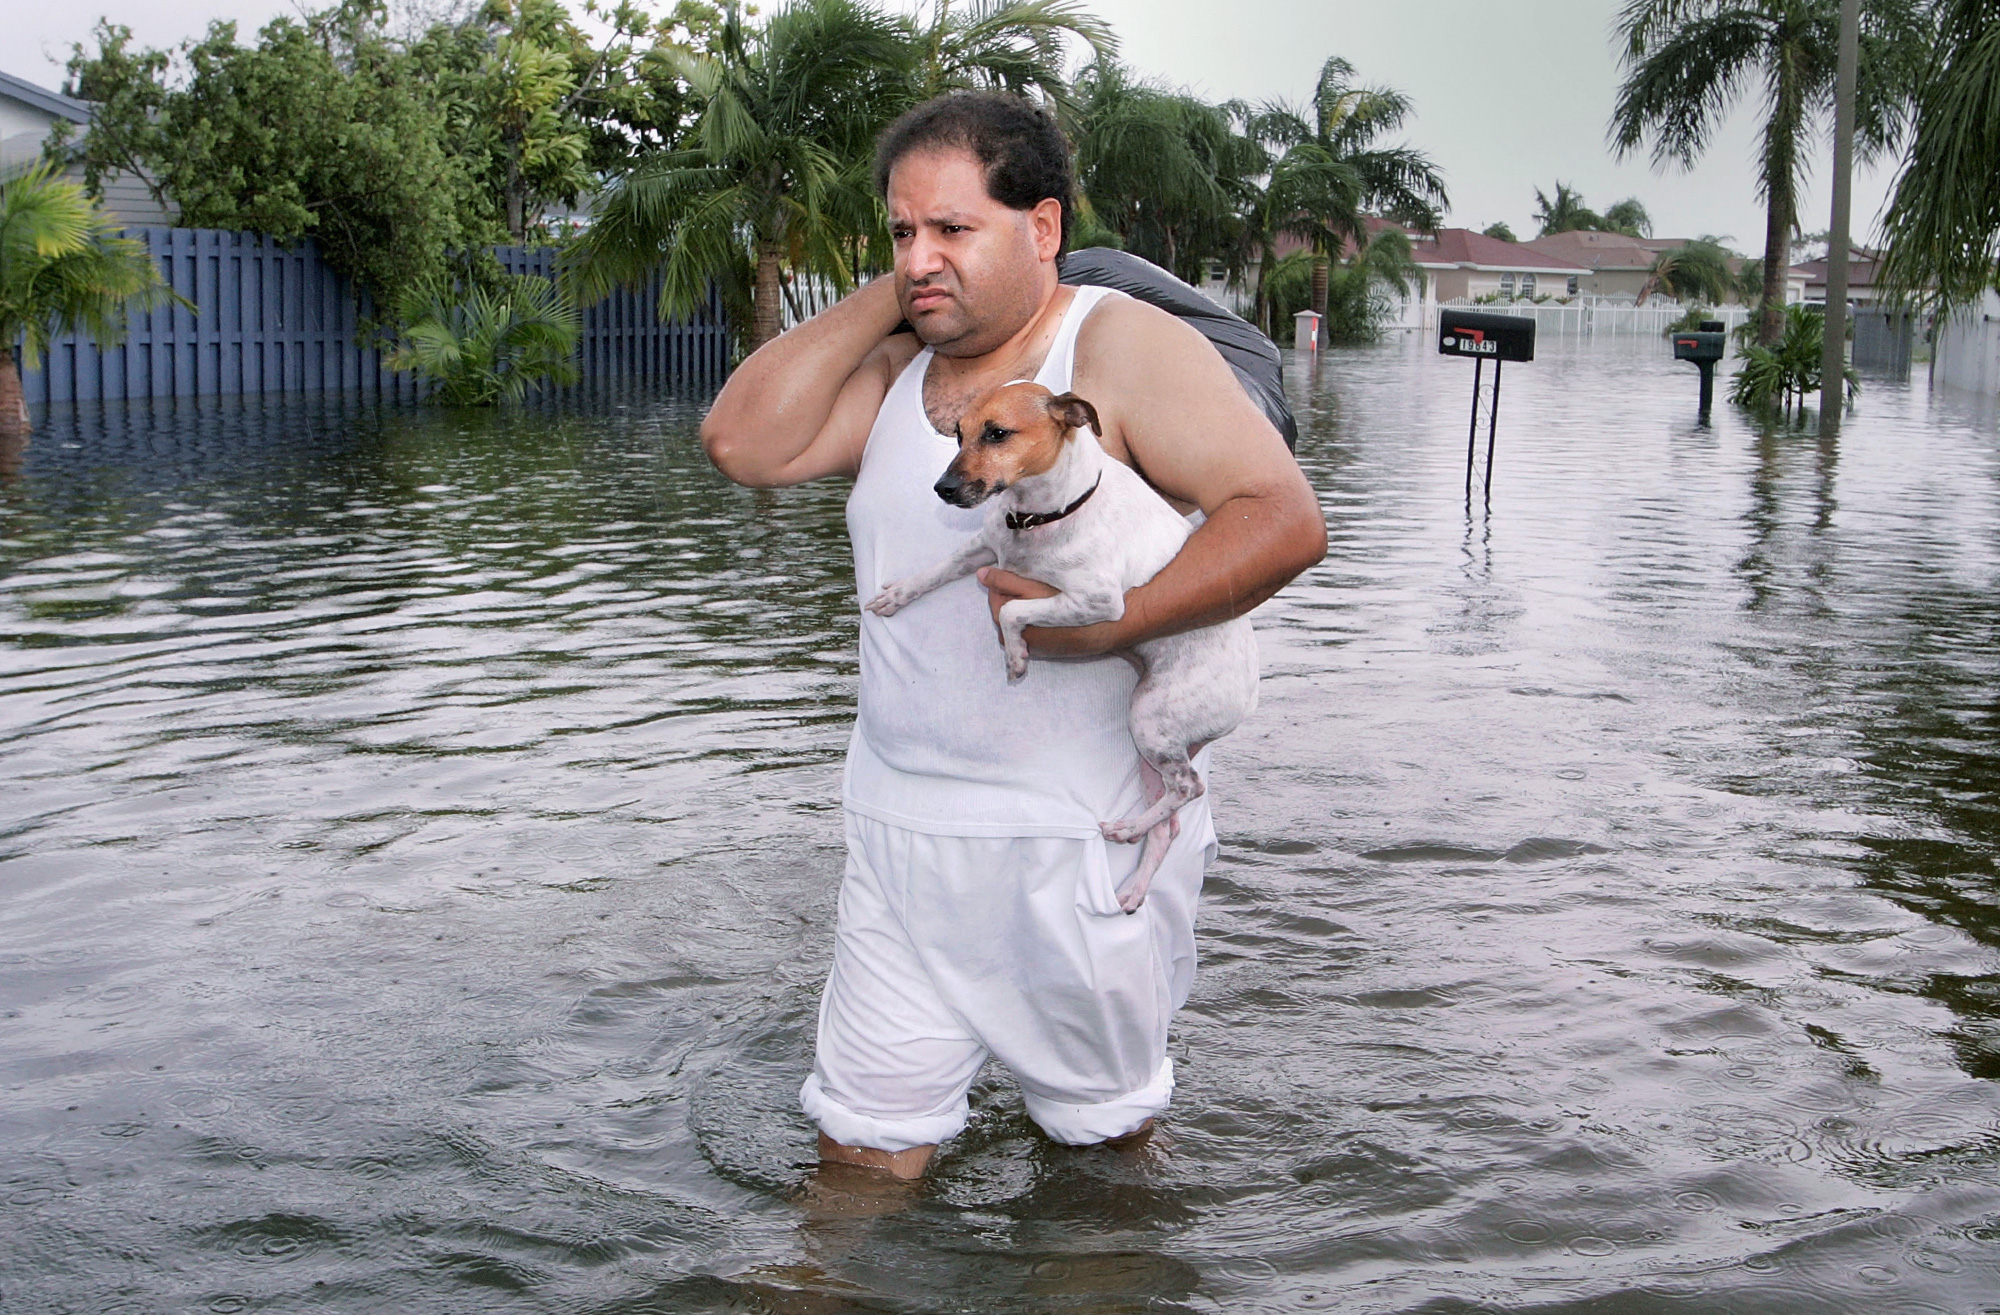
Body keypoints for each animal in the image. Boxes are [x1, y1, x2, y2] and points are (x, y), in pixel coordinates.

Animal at [868, 379, 1256, 911]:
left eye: (997, 433)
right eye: (958, 434)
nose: (942, 489)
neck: (1037, 516)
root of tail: (1250, 695)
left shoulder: (1097, 601)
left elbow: (1011, 612)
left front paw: (1015, 659)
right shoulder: (984, 548)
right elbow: (934, 572)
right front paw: (898, 595)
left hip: (1149, 719)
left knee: (1188, 789)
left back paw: (1127, 828)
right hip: (1151, 748)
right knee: (1169, 824)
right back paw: (1134, 883)